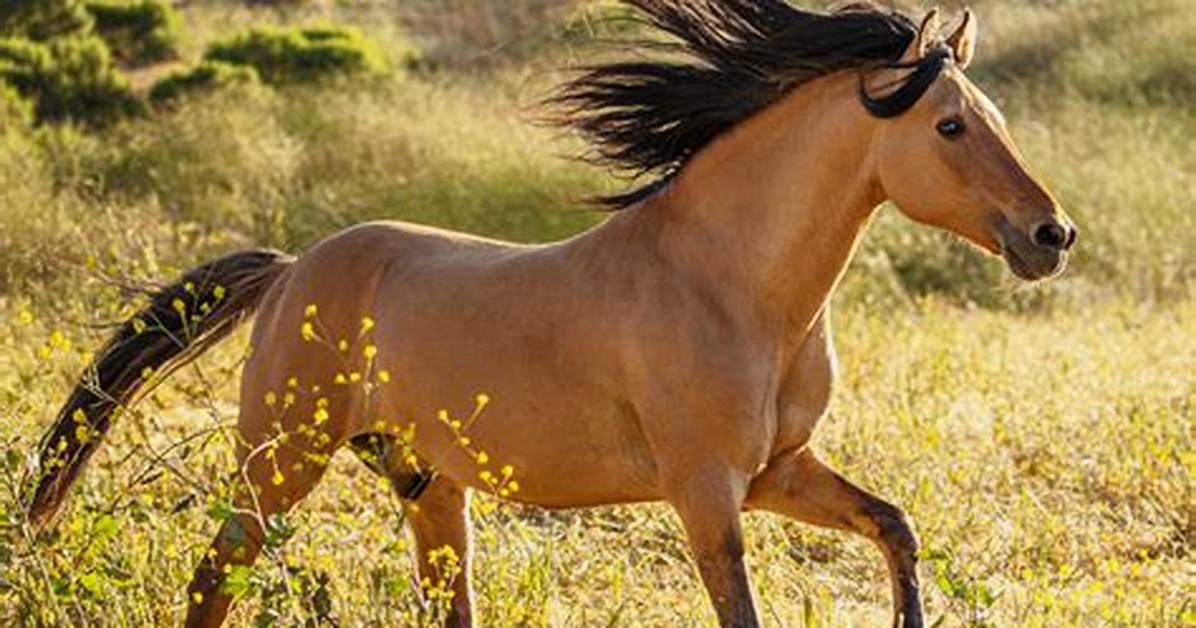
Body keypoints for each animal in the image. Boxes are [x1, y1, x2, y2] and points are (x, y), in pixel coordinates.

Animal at [26, 2, 1076, 626]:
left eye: (995, 118)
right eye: (950, 126)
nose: (1051, 234)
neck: (732, 286)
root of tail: (292, 272)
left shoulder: (778, 470)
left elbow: (895, 528)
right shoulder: (706, 493)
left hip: (427, 487)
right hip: (281, 463)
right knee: (218, 576)